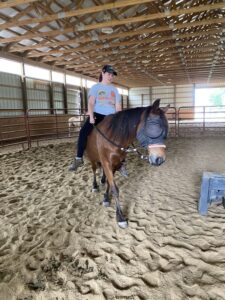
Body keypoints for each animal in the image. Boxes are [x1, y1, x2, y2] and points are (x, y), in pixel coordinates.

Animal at [85, 98, 169, 227]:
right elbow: (115, 189)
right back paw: (95, 186)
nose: (159, 159)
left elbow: (109, 183)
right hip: (93, 158)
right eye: (154, 125)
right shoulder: (107, 163)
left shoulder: (114, 164)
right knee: (94, 169)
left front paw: (106, 198)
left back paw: (102, 180)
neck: (113, 136)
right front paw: (120, 217)